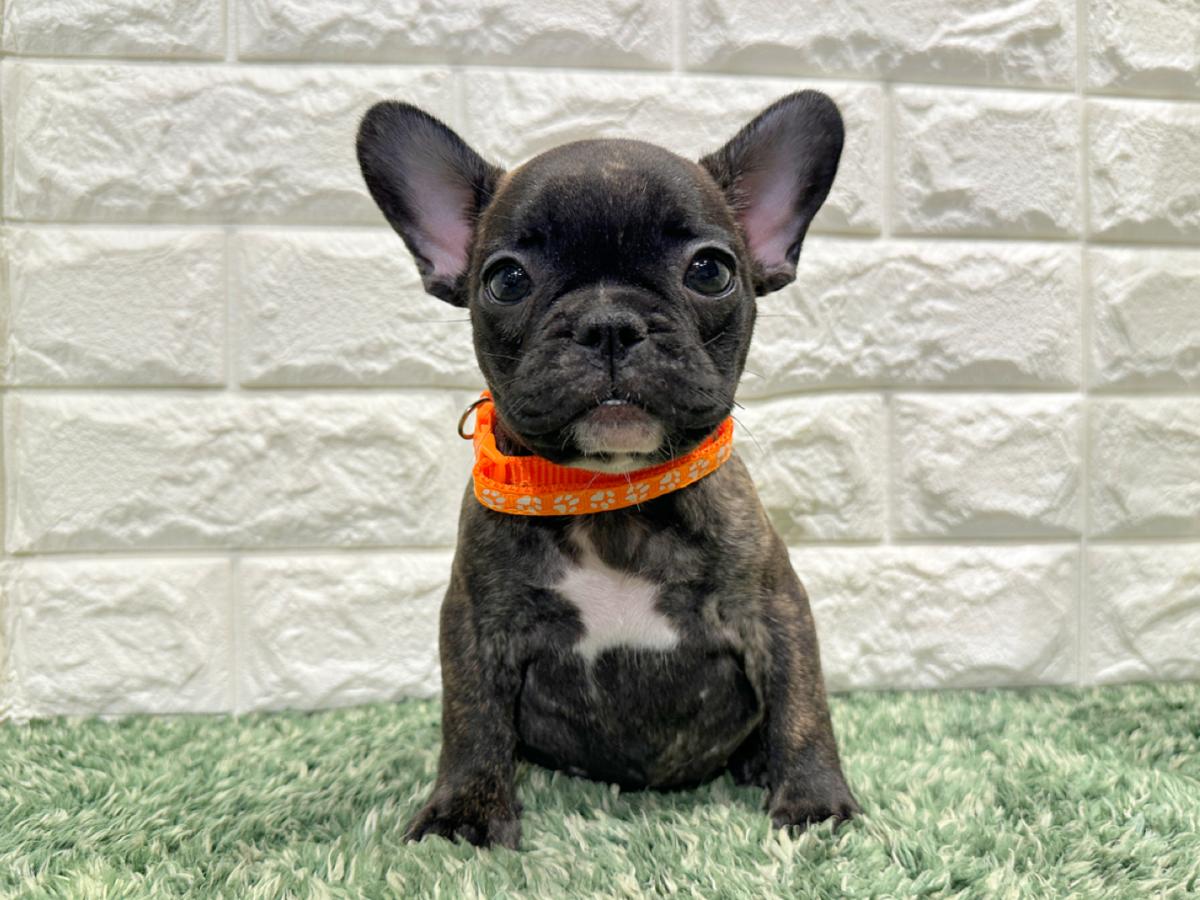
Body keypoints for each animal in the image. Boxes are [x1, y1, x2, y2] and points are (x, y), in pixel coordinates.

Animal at [356, 91, 859, 849]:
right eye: (506, 280)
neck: (609, 494)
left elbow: (803, 706)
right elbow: (471, 718)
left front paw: (813, 803)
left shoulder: (775, 609)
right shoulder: (476, 620)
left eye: (710, 271)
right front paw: (464, 813)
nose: (610, 323)